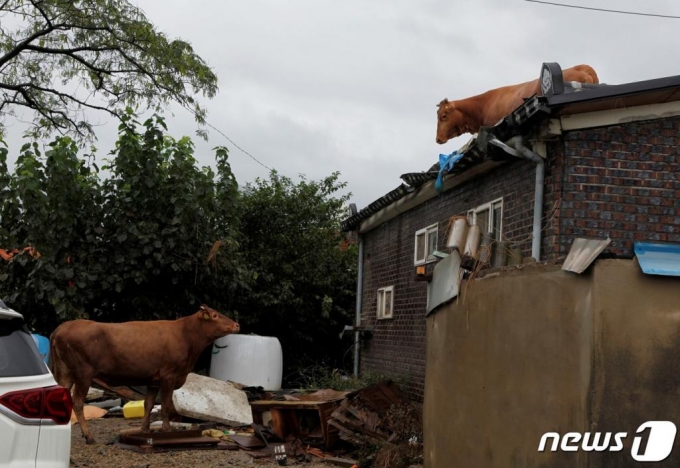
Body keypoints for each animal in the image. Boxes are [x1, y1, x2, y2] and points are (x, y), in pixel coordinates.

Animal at [49, 304, 239, 442]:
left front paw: (145, 429)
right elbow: (165, 404)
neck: (186, 335)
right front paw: (166, 429)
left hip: (65, 373)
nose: (237, 325)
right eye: (214, 316)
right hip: (83, 374)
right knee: (78, 403)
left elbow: (148, 404)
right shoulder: (169, 376)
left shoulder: (153, 380)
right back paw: (89, 436)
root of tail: (62, 327)